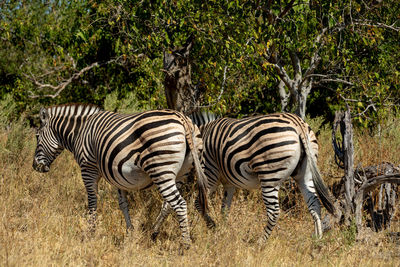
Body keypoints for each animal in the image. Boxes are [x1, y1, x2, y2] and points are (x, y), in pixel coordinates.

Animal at [32, 104, 208, 247]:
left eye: (37, 136)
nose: (35, 166)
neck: (79, 132)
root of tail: (182, 118)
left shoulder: (88, 169)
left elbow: (92, 202)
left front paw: (90, 232)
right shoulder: (117, 175)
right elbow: (123, 204)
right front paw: (129, 232)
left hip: (161, 169)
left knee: (179, 204)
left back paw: (185, 245)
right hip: (181, 173)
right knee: (168, 204)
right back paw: (153, 233)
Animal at [189, 112, 336, 242]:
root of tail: (298, 123)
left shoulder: (209, 172)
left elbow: (199, 203)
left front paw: (212, 227)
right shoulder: (229, 183)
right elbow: (225, 208)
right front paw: (223, 232)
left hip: (269, 175)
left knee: (274, 212)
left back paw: (260, 242)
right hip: (305, 173)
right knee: (315, 204)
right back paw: (317, 239)